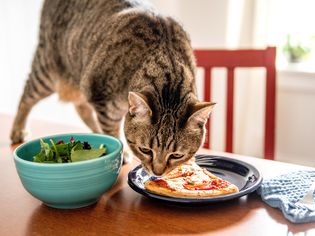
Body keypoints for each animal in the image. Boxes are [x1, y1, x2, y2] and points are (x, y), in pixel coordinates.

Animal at [9, 0, 215, 176]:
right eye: (145, 150)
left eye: (177, 155)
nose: (157, 173)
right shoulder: (105, 103)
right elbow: (113, 133)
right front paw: (122, 153)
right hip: (48, 70)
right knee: (26, 95)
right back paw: (18, 130)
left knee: (81, 108)